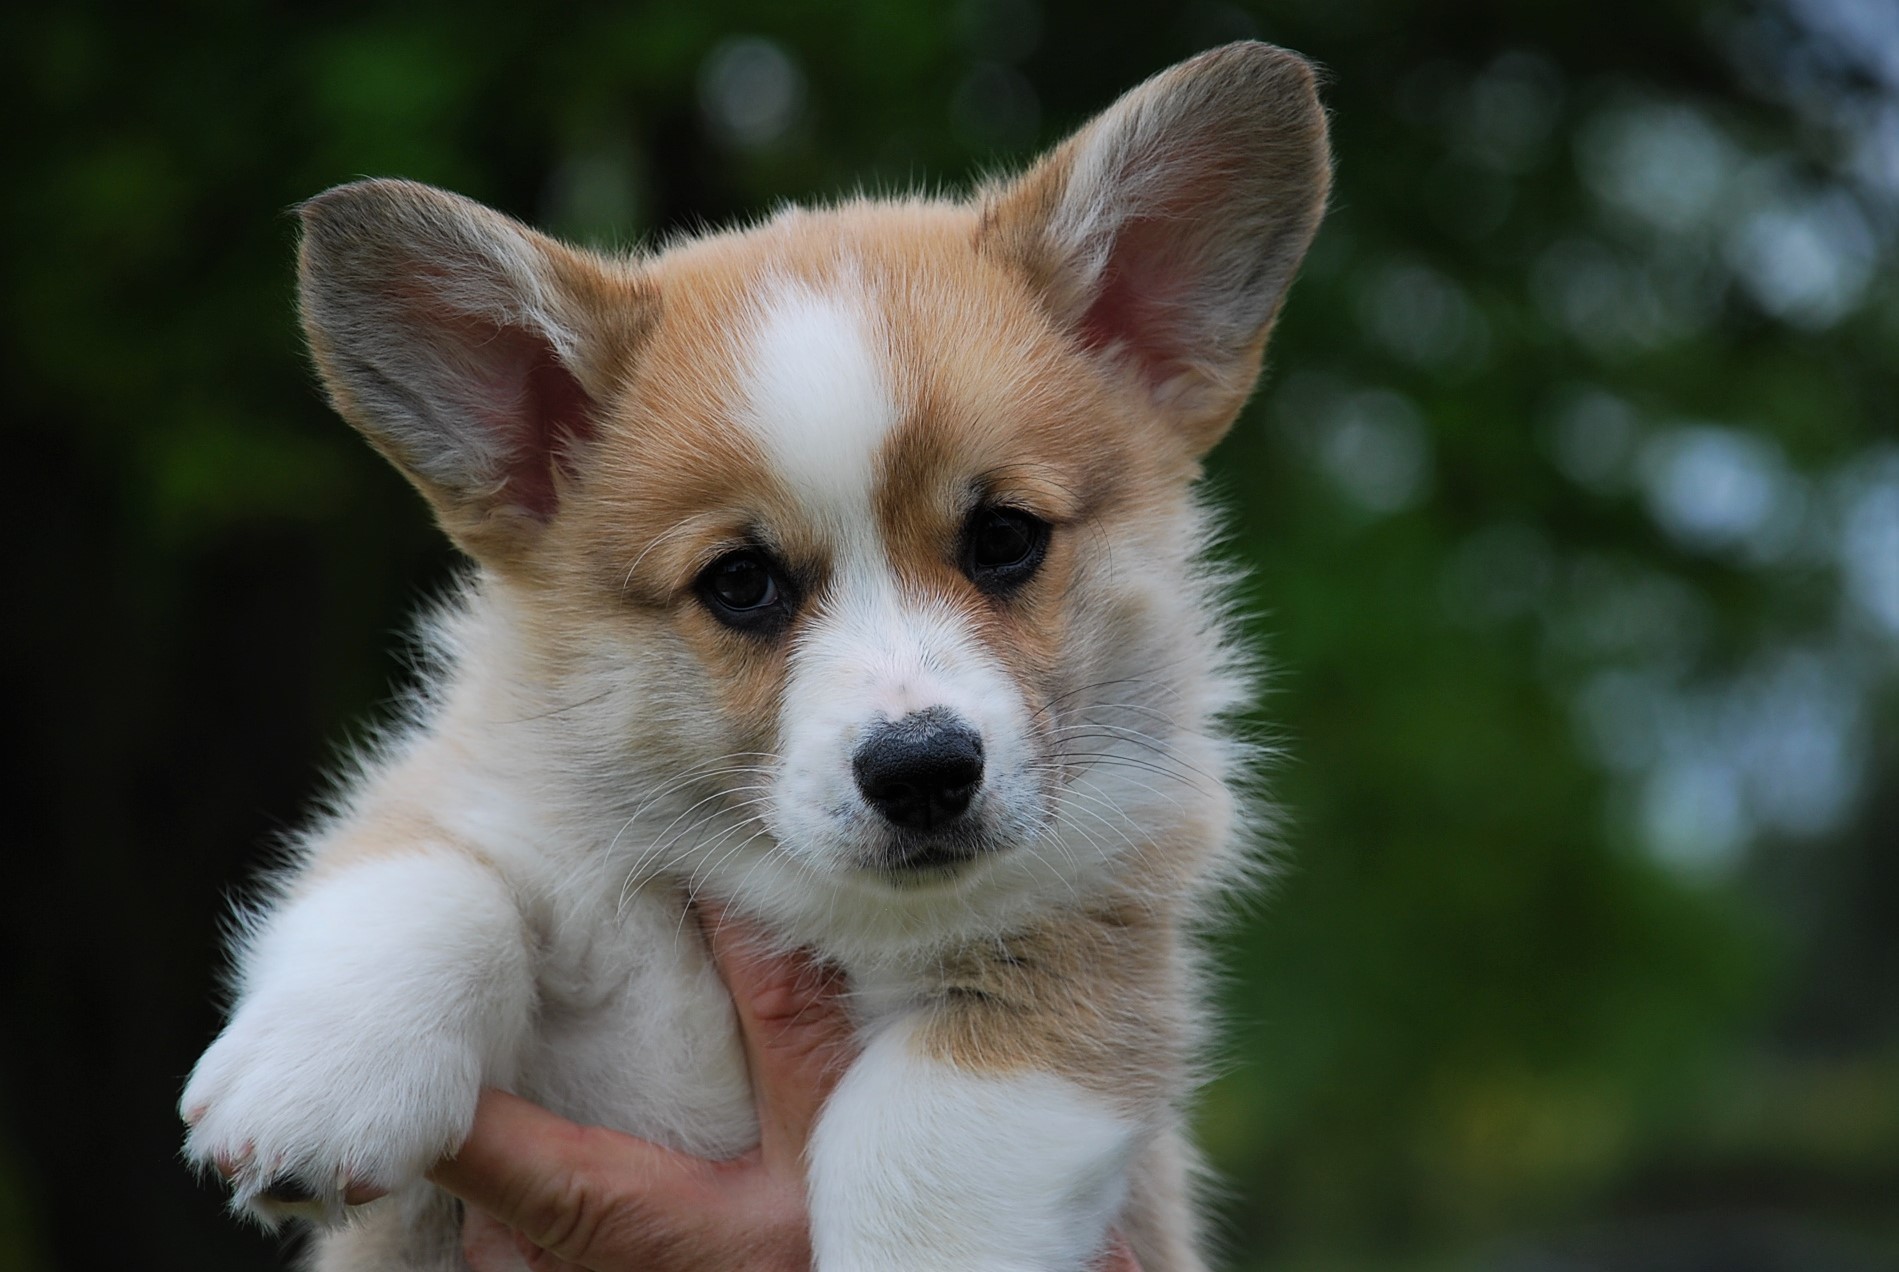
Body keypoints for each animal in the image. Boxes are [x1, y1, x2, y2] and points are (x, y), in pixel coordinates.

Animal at [179, 40, 1330, 1271]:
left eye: (1004, 538)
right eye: (739, 583)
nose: (924, 772)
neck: (789, 893)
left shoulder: (1092, 955)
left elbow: (925, 1148)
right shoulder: (483, 792)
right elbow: (429, 875)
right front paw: (316, 1085)